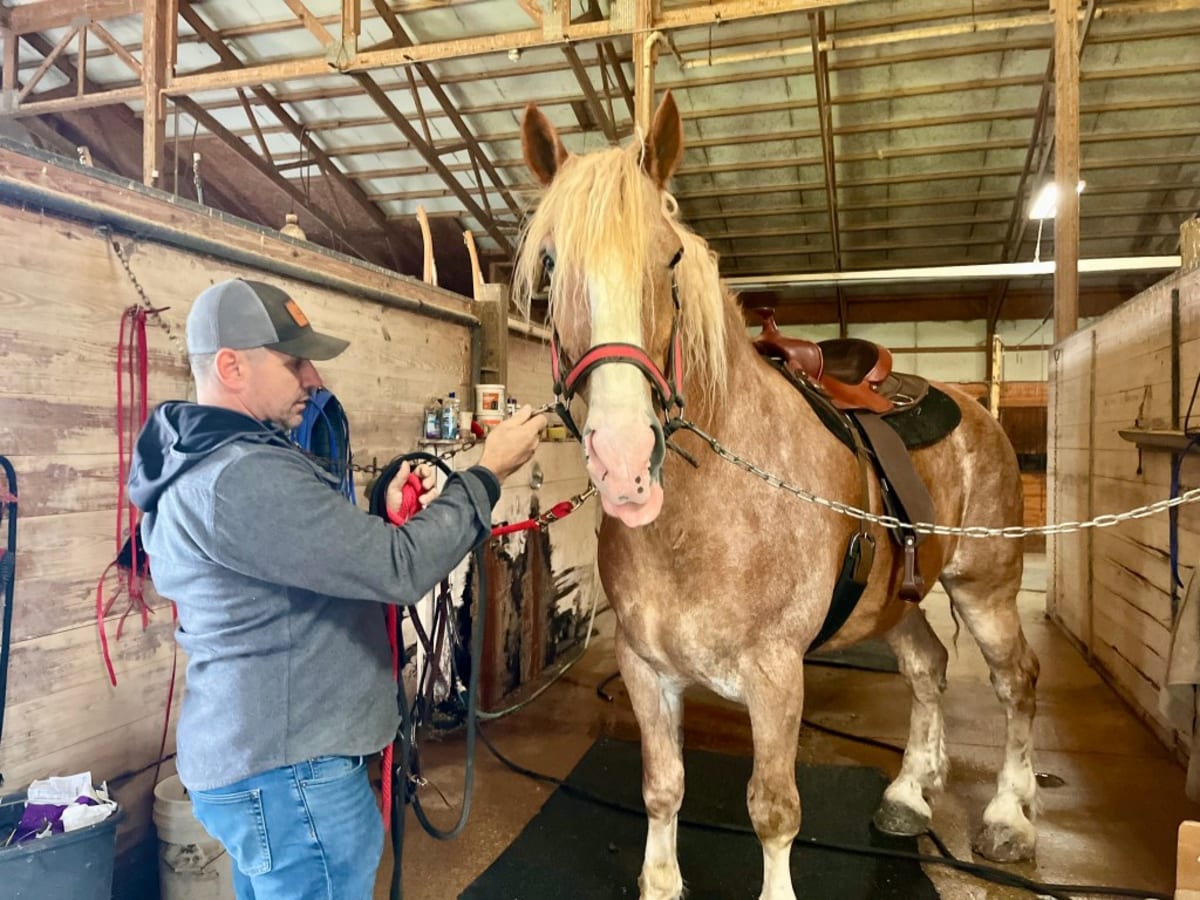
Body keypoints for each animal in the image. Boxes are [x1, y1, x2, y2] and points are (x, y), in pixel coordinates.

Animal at [512, 91, 1039, 900]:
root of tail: (974, 405)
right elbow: (662, 788)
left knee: (1015, 681)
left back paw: (1010, 815)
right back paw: (908, 793)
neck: (703, 518)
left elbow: (773, 810)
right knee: (927, 667)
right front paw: (661, 879)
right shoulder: (643, 668)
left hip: (985, 588)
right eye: (549, 264)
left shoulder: (776, 675)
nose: (624, 459)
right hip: (898, 601)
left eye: (671, 260)